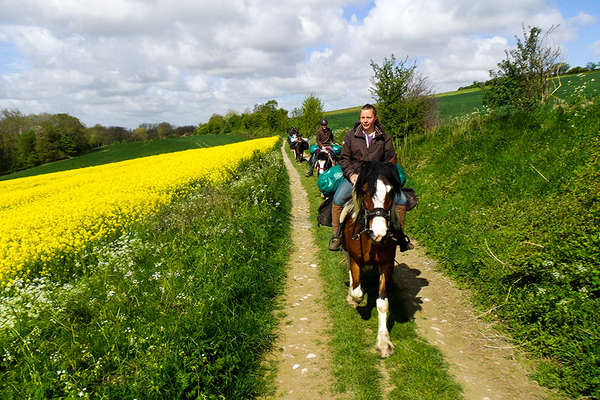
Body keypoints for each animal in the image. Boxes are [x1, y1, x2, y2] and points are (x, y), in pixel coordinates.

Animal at [340, 161, 400, 358]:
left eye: (391, 192)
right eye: (365, 192)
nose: (379, 233)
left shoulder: (386, 265)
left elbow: (382, 303)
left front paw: (383, 342)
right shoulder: (355, 258)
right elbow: (357, 292)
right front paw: (354, 298)